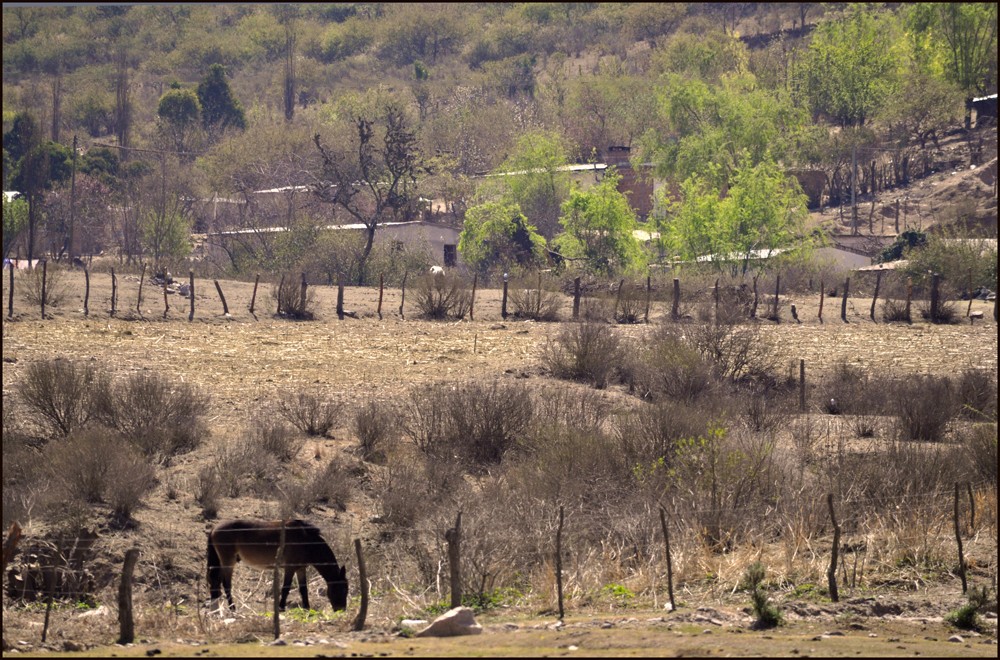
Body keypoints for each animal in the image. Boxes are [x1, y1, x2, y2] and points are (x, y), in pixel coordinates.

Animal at [206, 520, 348, 612]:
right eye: (342, 589)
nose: (341, 610)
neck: (306, 541)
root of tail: (214, 528)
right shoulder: (290, 568)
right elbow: (286, 588)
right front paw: (281, 607)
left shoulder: (301, 569)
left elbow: (303, 589)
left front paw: (307, 608)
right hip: (228, 562)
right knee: (226, 585)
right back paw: (232, 608)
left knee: (215, 583)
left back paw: (216, 609)